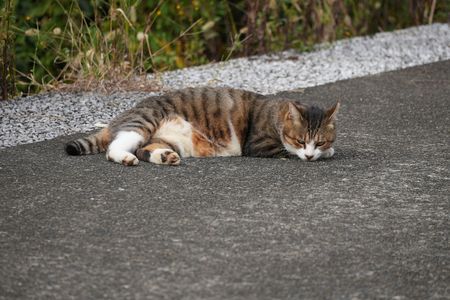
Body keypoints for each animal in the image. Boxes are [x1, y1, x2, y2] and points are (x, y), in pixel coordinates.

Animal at [65, 86, 340, 166]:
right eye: (300, 140)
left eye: (320, 140)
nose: (310, 154)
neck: (276, 114)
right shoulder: (258, 143)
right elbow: (285, 151)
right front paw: (323, 154)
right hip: (144, 121)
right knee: (116, 147)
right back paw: (124, 157)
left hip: (169, 139)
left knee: (146, 149)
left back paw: (164, 157)